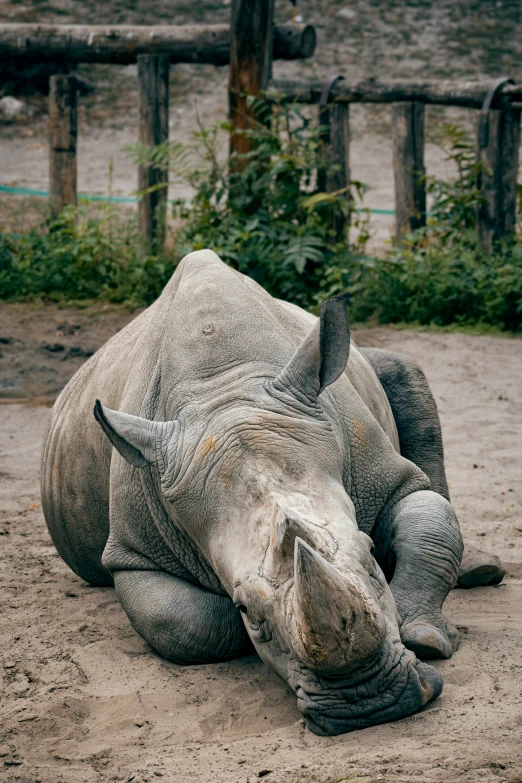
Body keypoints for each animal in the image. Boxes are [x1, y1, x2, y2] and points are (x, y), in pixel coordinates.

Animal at [41, 251, 504, 736]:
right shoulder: (136, 550)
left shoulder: (382, 473)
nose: (370, 704)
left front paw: (424, 637)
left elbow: (431, 524)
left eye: (372, 557)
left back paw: (482, 571)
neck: (223, 389)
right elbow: (180, 622)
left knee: (405, 375)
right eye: (246, 610)